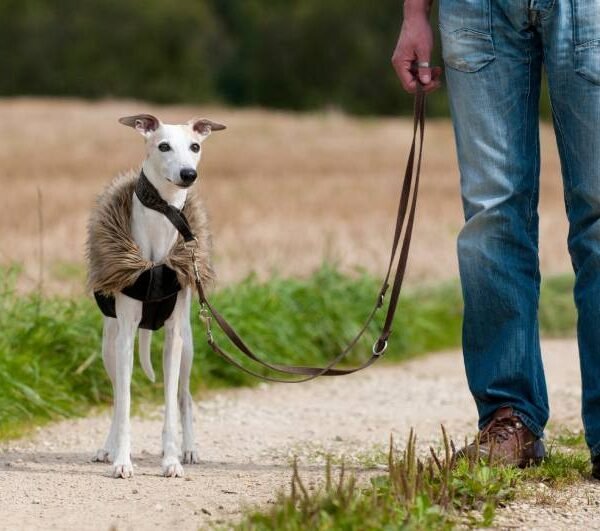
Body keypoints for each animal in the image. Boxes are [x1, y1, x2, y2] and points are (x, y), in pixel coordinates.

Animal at [91, 114, 225, 480]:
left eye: (195, 146)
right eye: (163, 145)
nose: (188, 174)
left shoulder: (175, 336)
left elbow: (169, 403)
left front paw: (172, 460)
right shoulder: (124, 333)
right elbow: (124, 403)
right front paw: (122, 460)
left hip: (189, 346)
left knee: (185, 396)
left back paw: (189, 449)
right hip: (109, 346)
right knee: (117, 397)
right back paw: (108, 448)